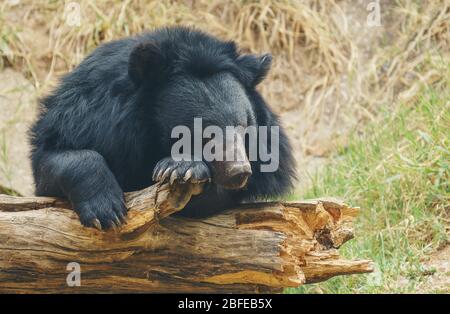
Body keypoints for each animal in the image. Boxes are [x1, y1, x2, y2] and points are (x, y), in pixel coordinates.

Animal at [29, 26, 298, 228]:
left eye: (244, 127)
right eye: (204, 133)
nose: (239, 171)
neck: (150, 135)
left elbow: (209, 200)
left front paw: (180, 169)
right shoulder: (83, 119)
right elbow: (54, 159)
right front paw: (106, 212)